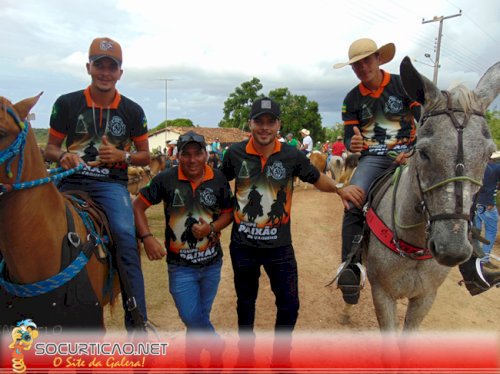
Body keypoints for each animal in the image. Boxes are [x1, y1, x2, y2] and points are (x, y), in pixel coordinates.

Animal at [346, 57, 498, 332]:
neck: (414, 244)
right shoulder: (382, 293)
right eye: (424, 152)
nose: (452, 249)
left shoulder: (425, 297)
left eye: (488, 153)